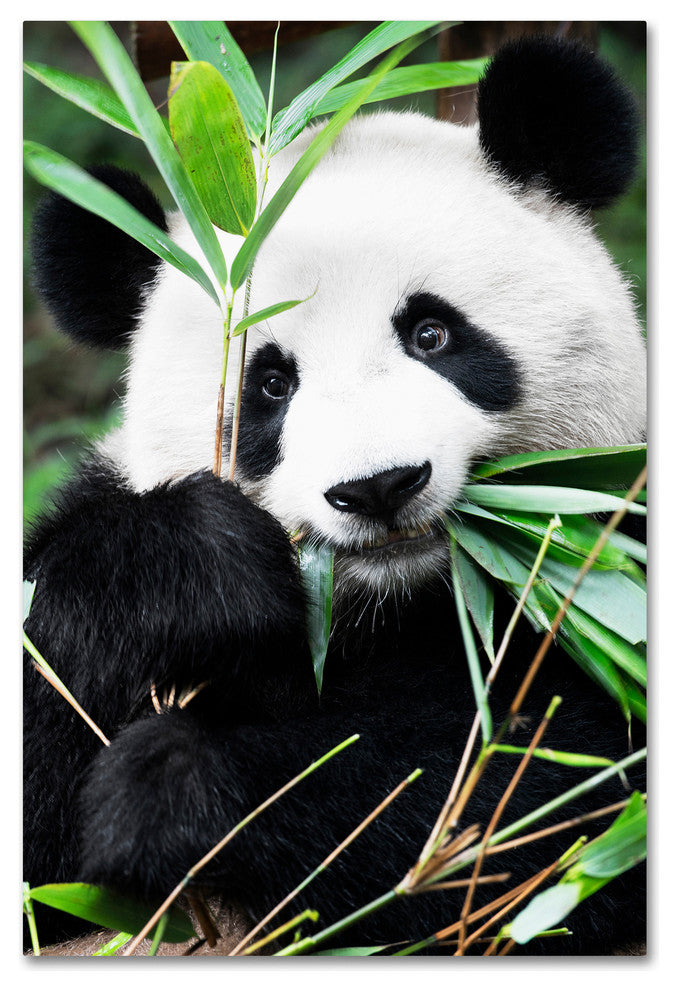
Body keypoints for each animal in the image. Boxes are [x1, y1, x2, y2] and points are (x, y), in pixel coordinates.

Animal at [24, 36, 646, 955]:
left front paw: (172, 786)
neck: (393, 606)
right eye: (270, 384)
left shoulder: (607, 560)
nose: (378, 486)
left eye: (432, 333)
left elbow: (548, 788)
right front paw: (194, 571)